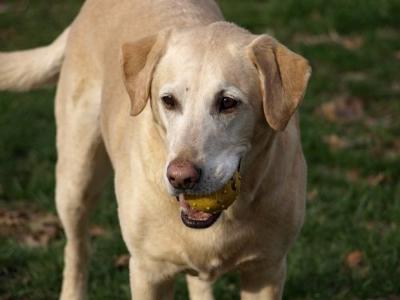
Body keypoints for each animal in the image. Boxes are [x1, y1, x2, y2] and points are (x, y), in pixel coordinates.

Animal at [0, 0, 310, 300]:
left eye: (227, 102)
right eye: (168, 100)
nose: (181, 177)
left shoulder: (266, 271)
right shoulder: (149, 272)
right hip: (75, 178)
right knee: (77, 248)